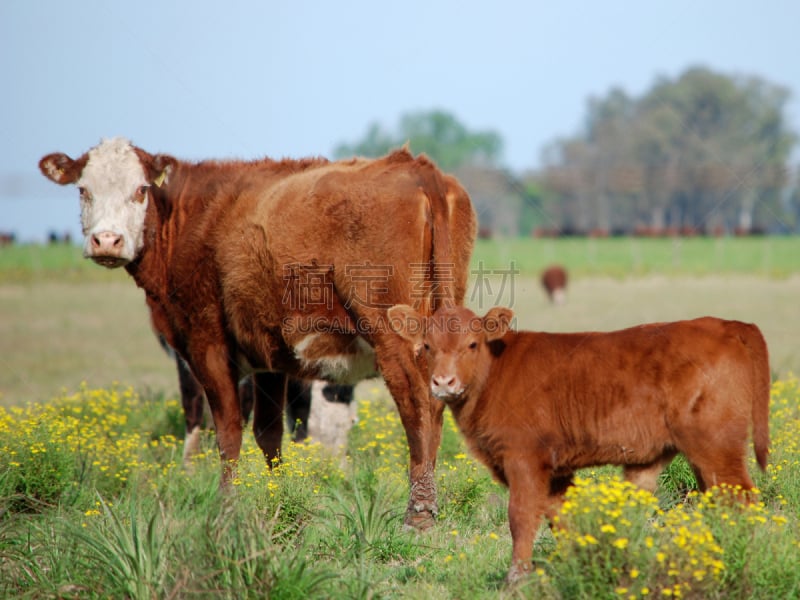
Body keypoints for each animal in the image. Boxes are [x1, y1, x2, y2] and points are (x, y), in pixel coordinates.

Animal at [40, 138, 476, 528]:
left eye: (141, 189)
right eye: (84, 189)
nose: (107, 241)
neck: (189, 218)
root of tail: (418, 169)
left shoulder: (206, 344)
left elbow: (228, 431)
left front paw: (225, 506)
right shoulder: (269, 358)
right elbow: (268, 434)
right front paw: (278, 497)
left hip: (393, 336)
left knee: (419, 408)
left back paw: (418, 514)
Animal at [390, 304, 772, 580]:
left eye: (471, 343)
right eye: (427, 346)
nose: (444, 382)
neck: (495, 369)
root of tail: (730, 325)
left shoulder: (524, 457)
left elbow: (521, 516)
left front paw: (517, 578)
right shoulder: (556, 470)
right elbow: (562, 518)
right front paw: (574, 565)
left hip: (716, 446)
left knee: (741, 501)